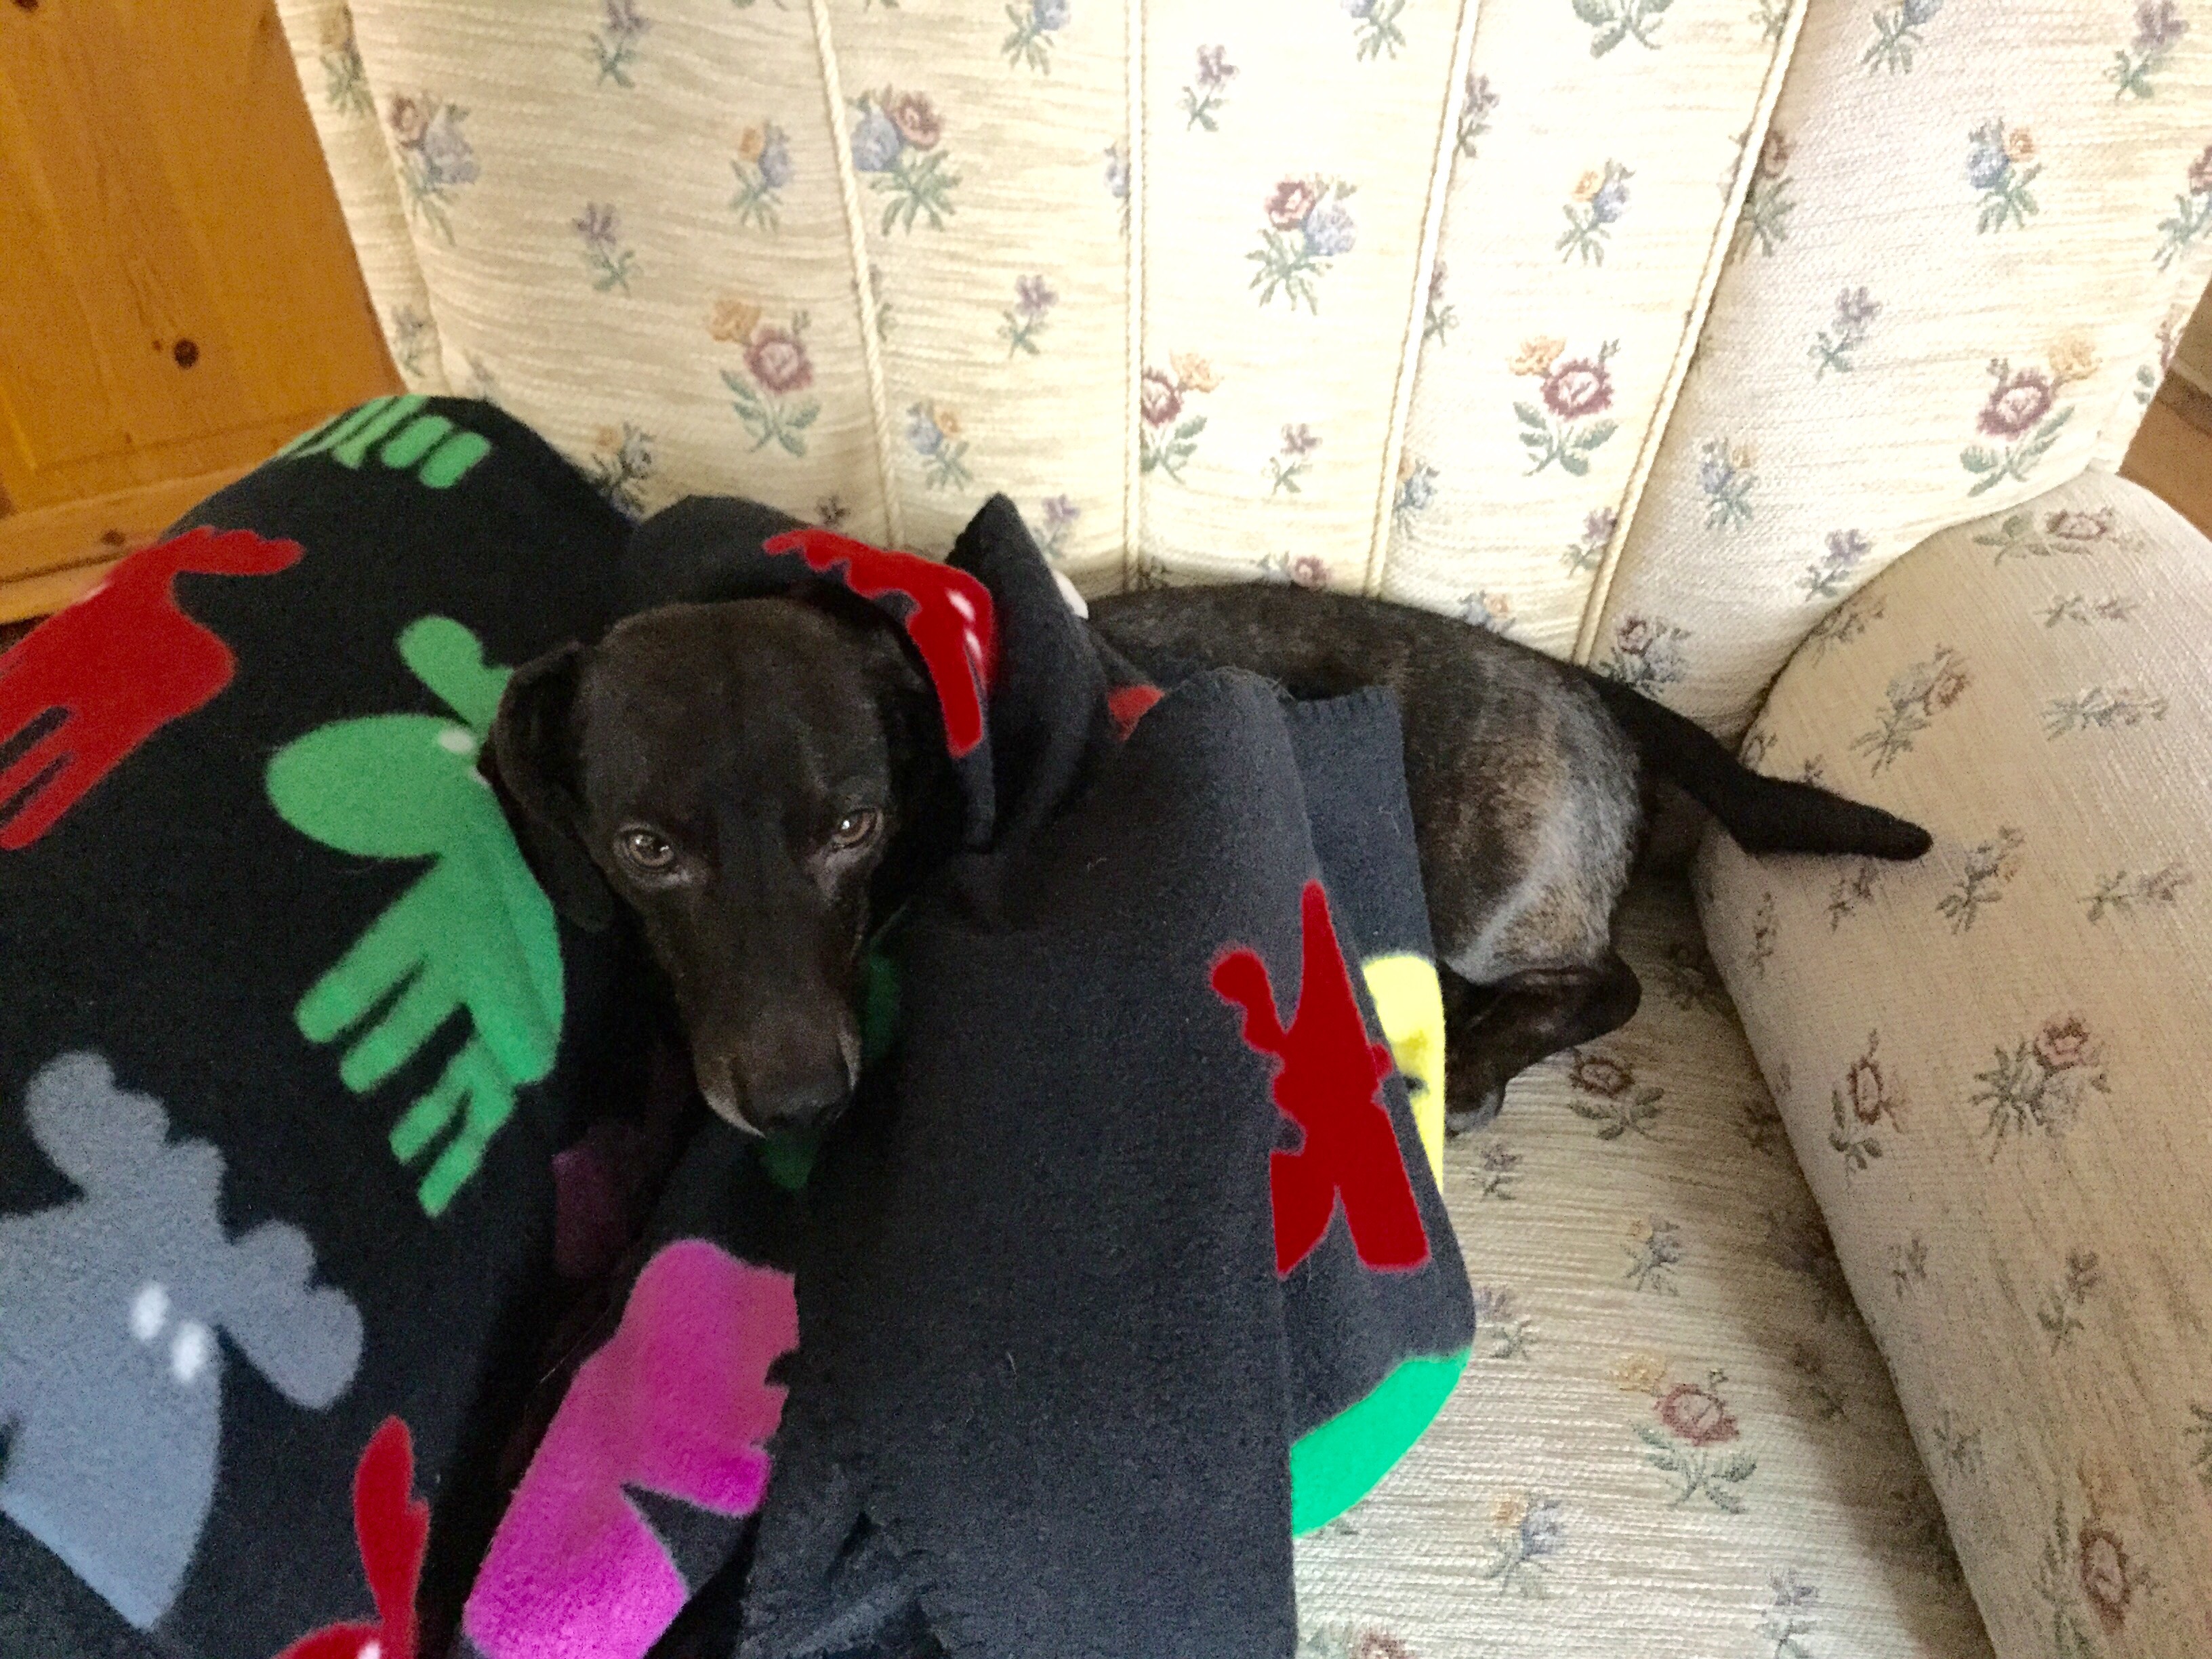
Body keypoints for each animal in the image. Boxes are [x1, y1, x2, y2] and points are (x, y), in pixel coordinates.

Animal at [487, 578, 1927, 1137]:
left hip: (1476, 881)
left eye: (853, 827)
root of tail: (1581, 681)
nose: (797, 1104)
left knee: (1606, 979)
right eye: (641, 847)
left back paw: (1478, 1058)